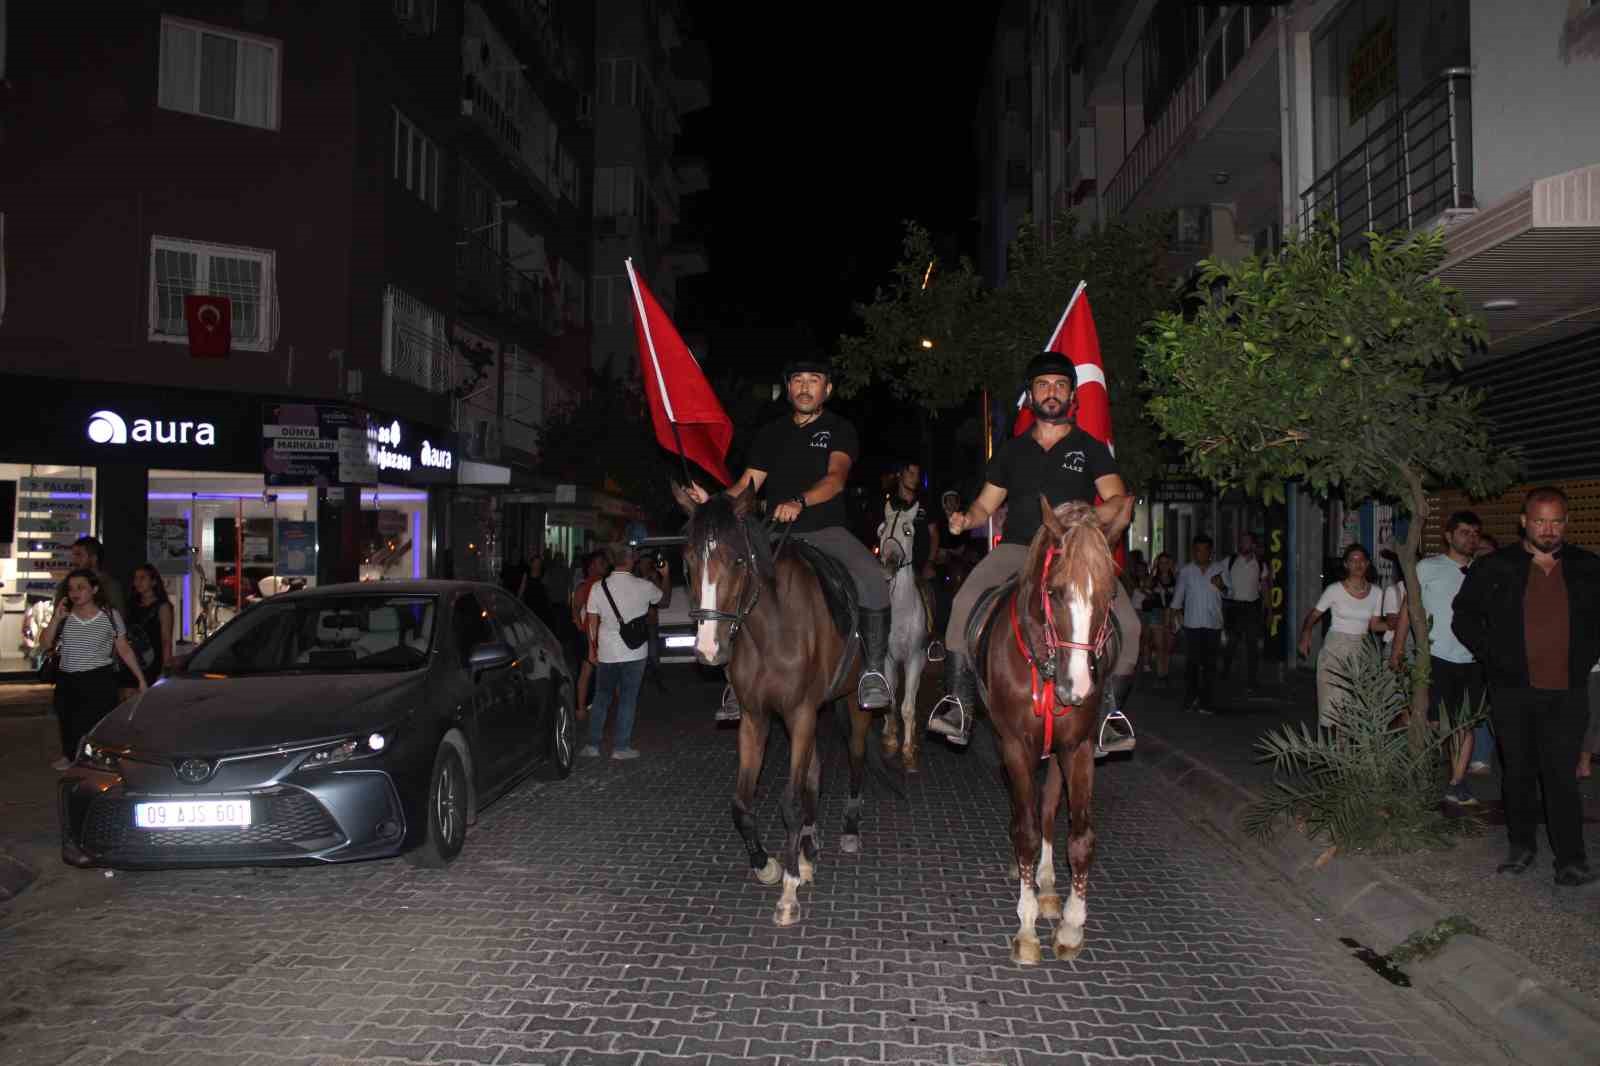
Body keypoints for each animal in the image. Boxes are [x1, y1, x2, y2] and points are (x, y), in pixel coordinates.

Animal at [672, 480, 876, 921]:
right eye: (688, 561)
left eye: (738, 559)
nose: (709, 650)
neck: (770, 627)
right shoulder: (756, 717)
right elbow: (741, 803)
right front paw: (768, 865)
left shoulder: (799, 714)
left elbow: (789, 803)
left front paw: (789, 890)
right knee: (815, 771)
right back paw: (808, 848)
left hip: (852, 706)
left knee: (855, 759)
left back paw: (848, 831)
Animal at [979, 492, 1132, 960]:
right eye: (1054, 592)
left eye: (1110, 593)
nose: (1075, 688)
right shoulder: (1014, 744)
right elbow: (1026, 831)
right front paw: (1027, 927)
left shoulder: (1077, 747)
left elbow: (1078, 836)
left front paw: (1070, 925)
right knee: (1024, 812)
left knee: (1047, 806)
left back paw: (1046, 885)